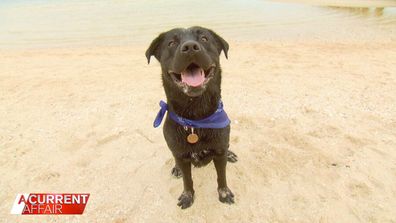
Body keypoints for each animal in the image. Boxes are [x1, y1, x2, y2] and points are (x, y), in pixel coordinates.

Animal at [147, 26, 237, 209]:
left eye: (204, 38)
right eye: (171, 43)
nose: (189, 47)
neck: (197, 120)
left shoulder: (219, 152)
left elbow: (222, 177)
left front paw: (224, 193)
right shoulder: (182, 155)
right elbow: (187, 181)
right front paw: (187, 196)